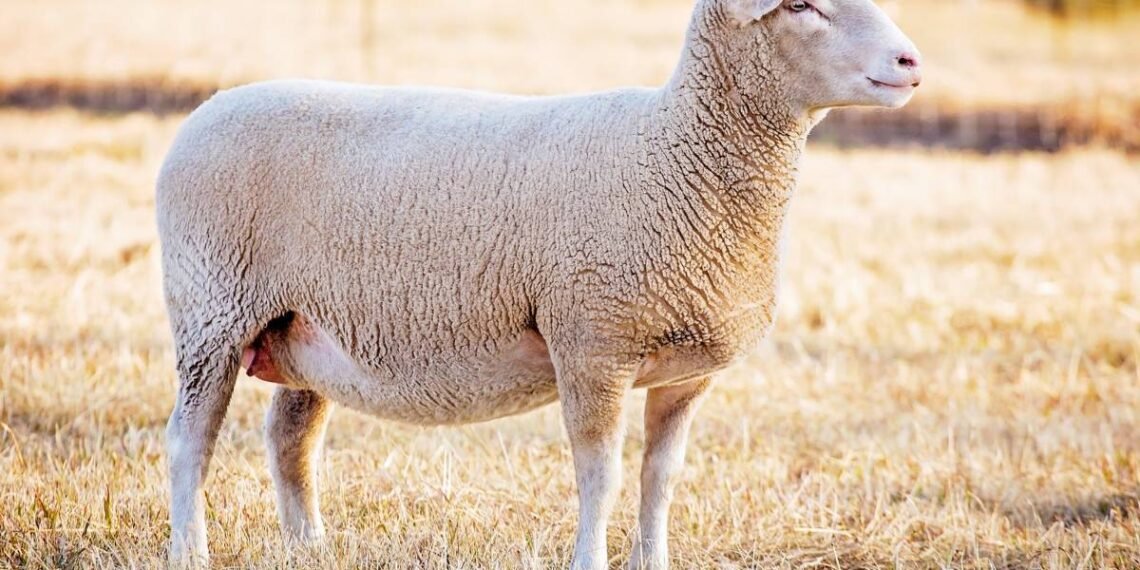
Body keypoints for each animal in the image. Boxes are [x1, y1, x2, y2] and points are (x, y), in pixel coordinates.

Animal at [156, 0, 921, 567]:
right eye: (800, 5)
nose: (911, 62)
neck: (674, 152)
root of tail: (208, 108)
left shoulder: (685, 374)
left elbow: (661, 479)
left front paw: (653, 560)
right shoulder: (592, 344)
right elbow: (601, 476)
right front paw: (591, 562)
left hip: (304, 328)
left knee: (290, 439)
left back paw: (310, 549)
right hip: (211, 311)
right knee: (190, 442)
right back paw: (192, 552)